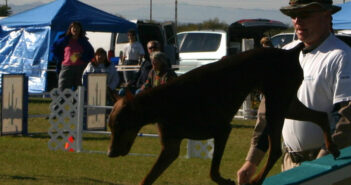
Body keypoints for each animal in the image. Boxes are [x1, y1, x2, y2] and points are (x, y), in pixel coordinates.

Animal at [107, 44, 340, 185]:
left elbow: (212, 171)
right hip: (285, 103)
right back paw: (332, 147)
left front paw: (225, 180)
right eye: (110, 127)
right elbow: (147, 178)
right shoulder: (170, 147)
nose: (109, 153)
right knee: (320, 116)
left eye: (119, 126)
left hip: (275, 106)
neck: (165, 103)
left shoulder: (222, 130)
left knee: (274, 150)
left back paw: (256, 180)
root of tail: (290, 52)